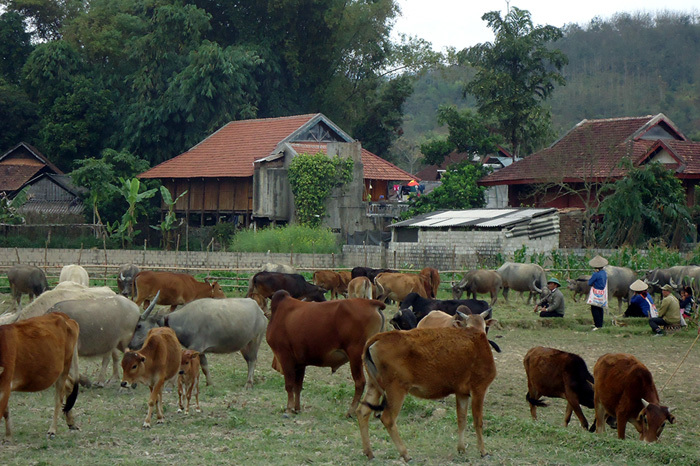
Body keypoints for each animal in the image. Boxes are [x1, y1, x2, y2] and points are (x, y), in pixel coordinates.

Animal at [127, 296, 266, 388]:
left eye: (139, 326)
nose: (130, 344)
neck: (184, 320)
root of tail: (260, 311)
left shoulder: (195, 348)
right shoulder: (201, 351)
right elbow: (205, 367)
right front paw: (210, 383)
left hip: (255, 340)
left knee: (253, 360)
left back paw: (248, 384)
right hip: (244, 345)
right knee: (249, 360)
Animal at [360, 312, 498, 460]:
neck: (476, 335)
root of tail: (379, 337)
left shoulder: (462, 393)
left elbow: (462, 420)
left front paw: (461, 449)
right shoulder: (479, 389)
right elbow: (478, 421)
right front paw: (483, 451)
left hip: (374, 386)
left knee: (363, 412)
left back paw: (369, 452)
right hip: (396, 390)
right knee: (388, 419)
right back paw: (405, 454)